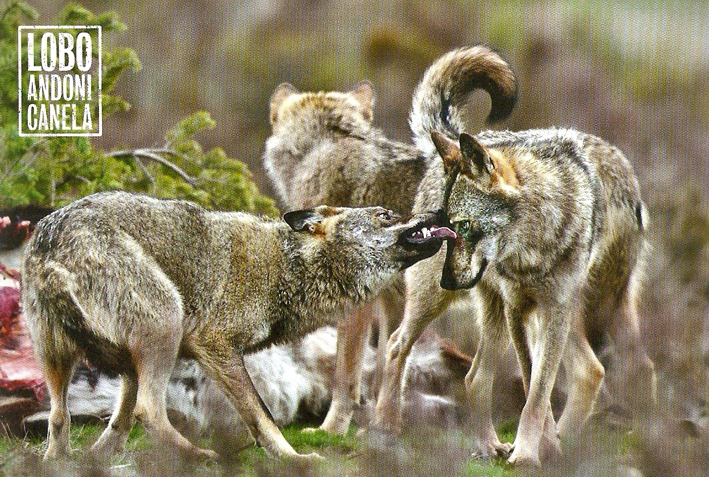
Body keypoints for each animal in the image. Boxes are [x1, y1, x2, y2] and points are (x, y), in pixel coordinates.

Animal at [21, 190, 455, 461]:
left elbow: (118, 420)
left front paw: (98, 457)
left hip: (69, 359)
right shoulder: (215, 346)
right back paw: (199, 457)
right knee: (150, 411)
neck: (285, 267)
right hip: (165, 327)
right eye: (386, 215)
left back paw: (61, 461)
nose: (441, 212)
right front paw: (294, 459)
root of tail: (49, 245)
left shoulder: (140, 363)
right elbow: (263, 417)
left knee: (61, 418)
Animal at [263, 44, 517, 435]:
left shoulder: (359, 305)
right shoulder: (391, 302)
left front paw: (334, 429)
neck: (328, 151)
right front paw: (380, 424)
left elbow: (348, 375)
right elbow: (384, 366)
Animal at [374, 51, 657, 466]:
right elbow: (531, 385)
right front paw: (536, 450)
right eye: (444, 228)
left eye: (462, 225)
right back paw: (388, 428)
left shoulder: (551, 310)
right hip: (452, 306)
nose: (448, 279)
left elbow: (537, 394)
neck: (534, 246)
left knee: (601, 369)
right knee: (401, 347)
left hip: (590, 308)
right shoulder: (518, 310)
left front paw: (532, 453)